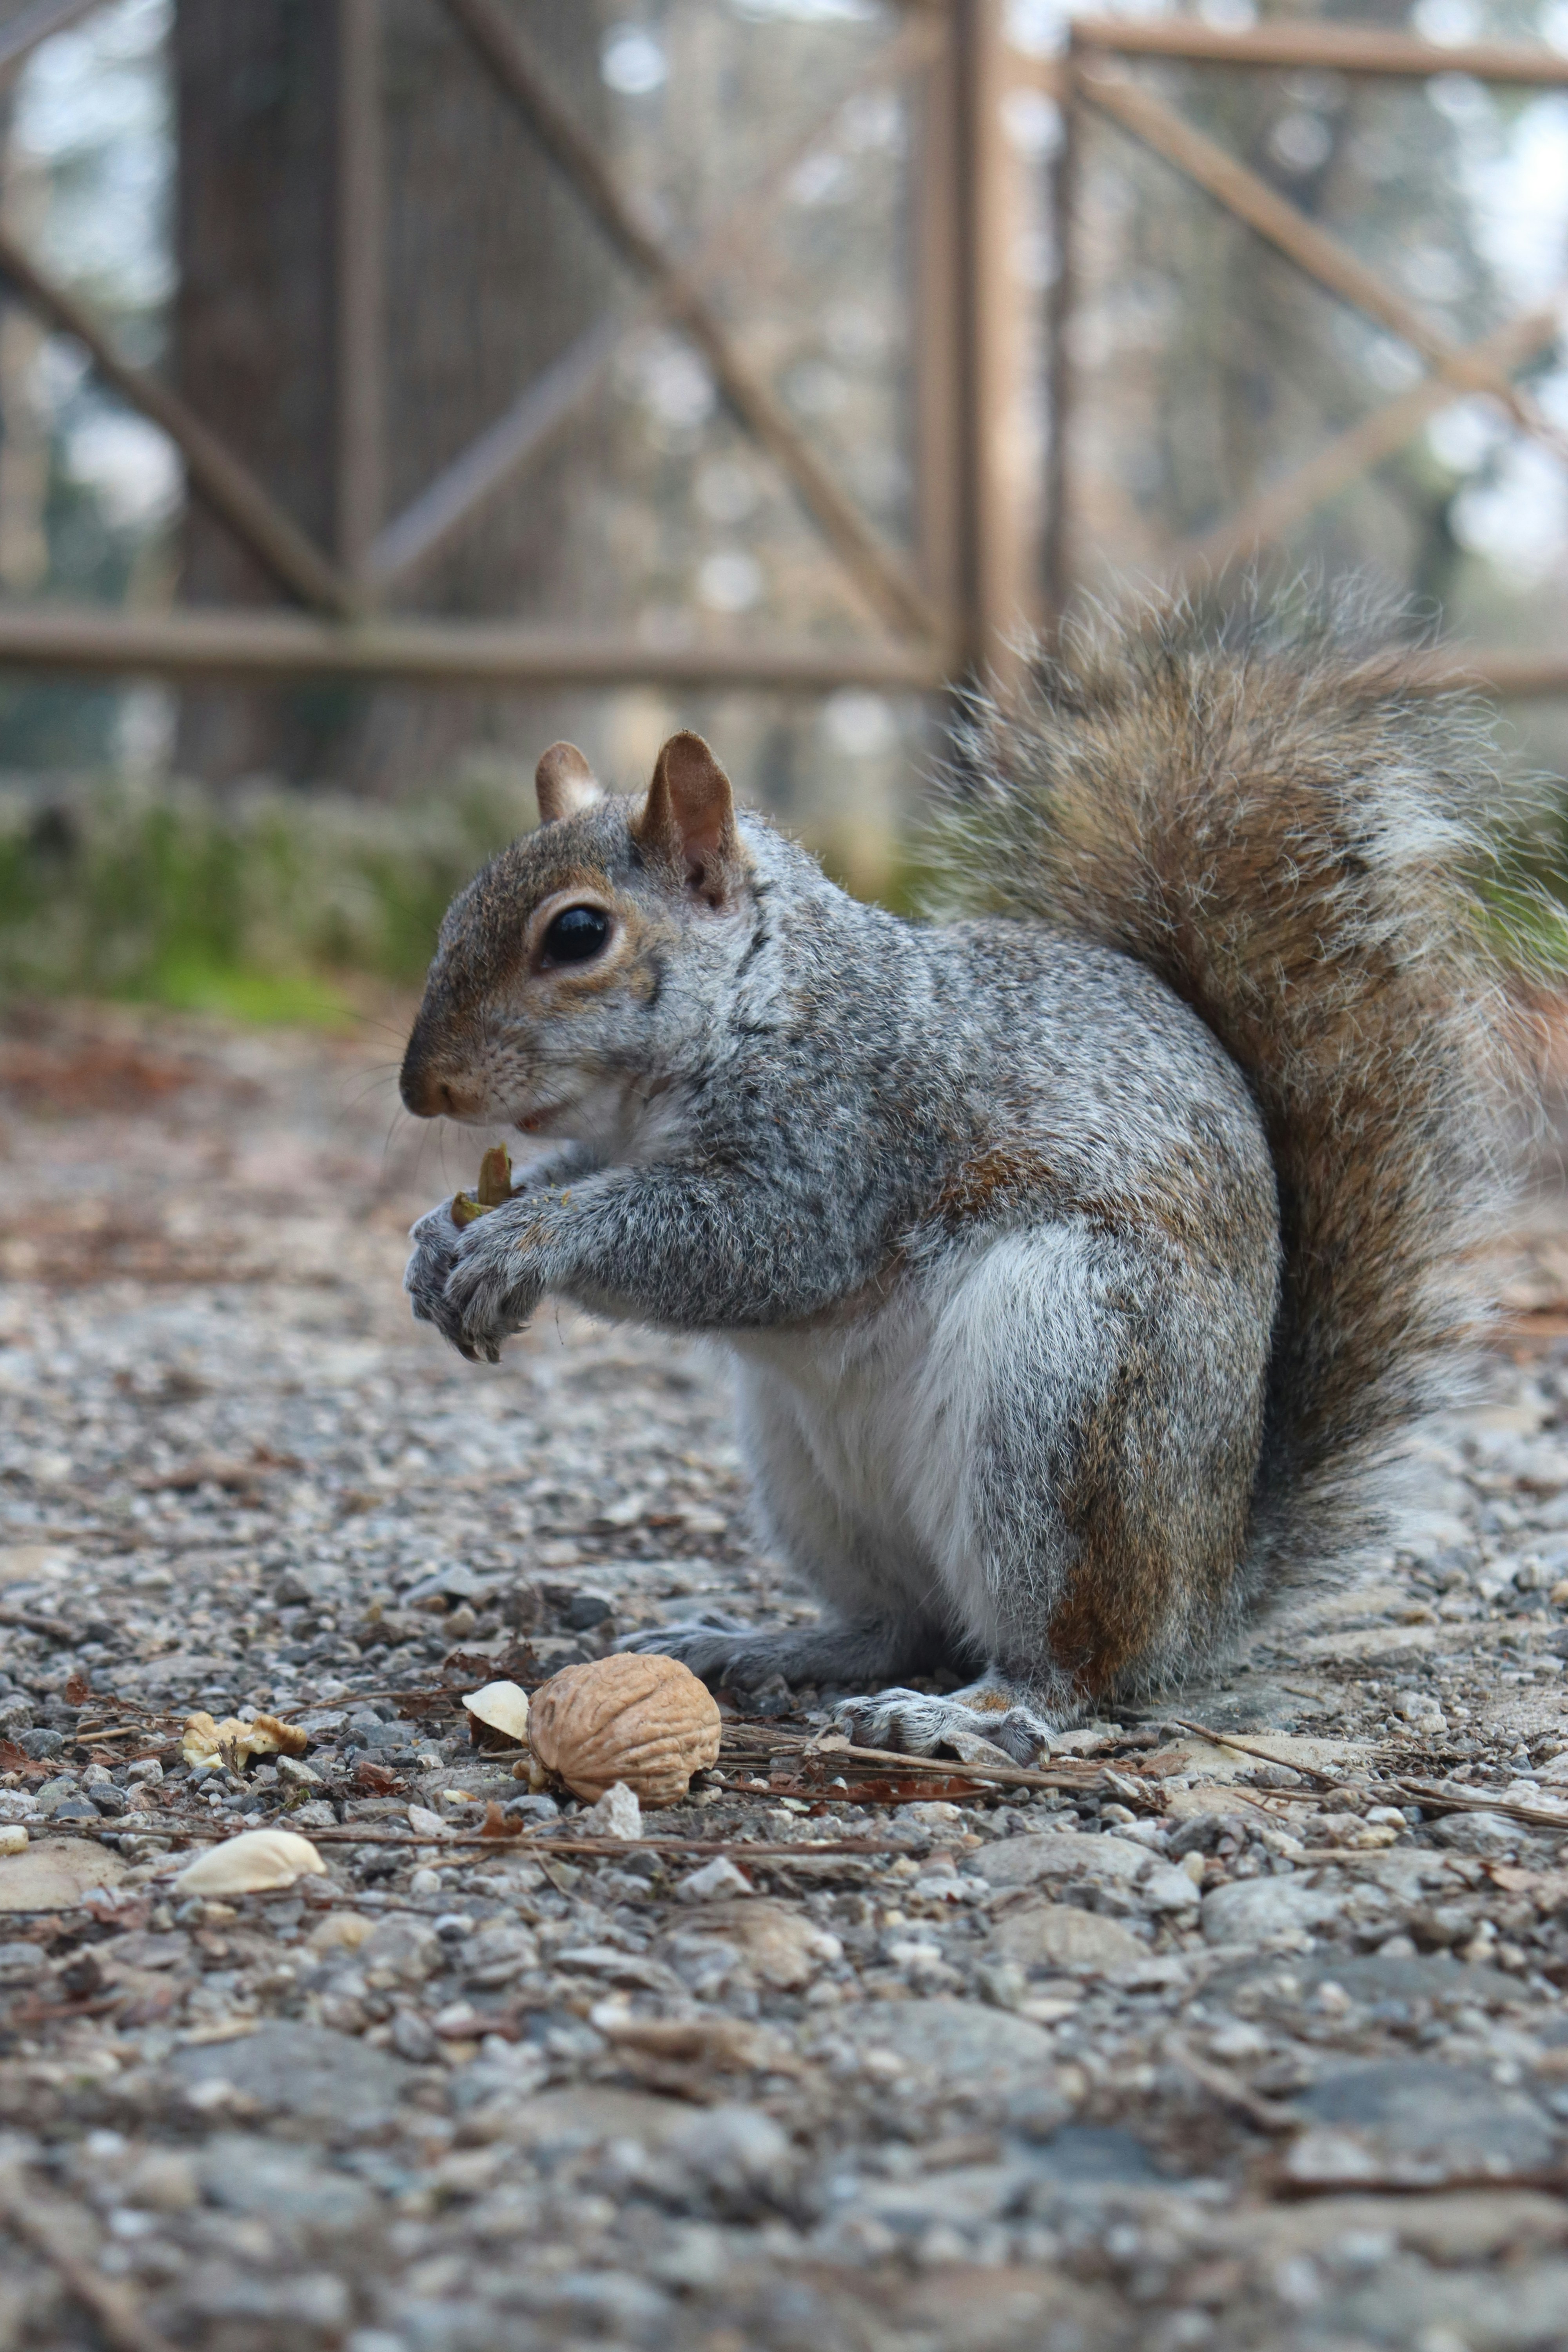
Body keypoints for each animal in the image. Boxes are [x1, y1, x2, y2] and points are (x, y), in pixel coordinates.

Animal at [399, 590, 1524, 1760]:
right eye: (461, 905)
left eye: (578, 934)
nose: (420, 1086)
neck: (759, 999)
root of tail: (1207, 1591)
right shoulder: (628, 1142)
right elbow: (580, 1174)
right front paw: (439, 1240)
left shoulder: (852, 1135)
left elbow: (751, 1245)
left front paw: (528, 1240)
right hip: (810, 1476)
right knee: (902, 1622)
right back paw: (764, 1644)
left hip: (1065, 1393)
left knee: (1073, 1663)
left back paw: (971, 1709)